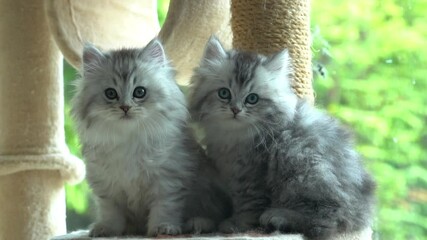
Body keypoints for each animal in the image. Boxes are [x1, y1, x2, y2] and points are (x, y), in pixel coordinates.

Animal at [71, 38, 231, 237]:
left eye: (139, 92)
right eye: (111, 93)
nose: (125, 107)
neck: (129, 138)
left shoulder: (167, 181)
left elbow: (164, 208)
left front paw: (162, 229)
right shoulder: (107, 186)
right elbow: (111, 213)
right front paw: (106, 230)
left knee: (210, 216)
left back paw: (197, 224)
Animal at [189, 36, 376, 239]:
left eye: (252, 99)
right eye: (224, 93)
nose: (235, 110)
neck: (234, 136)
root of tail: (364, 209)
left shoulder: (251, 175)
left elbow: (248, 205)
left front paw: (235, 225)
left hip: (298, 156)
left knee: (325, 221)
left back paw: (278, 217)